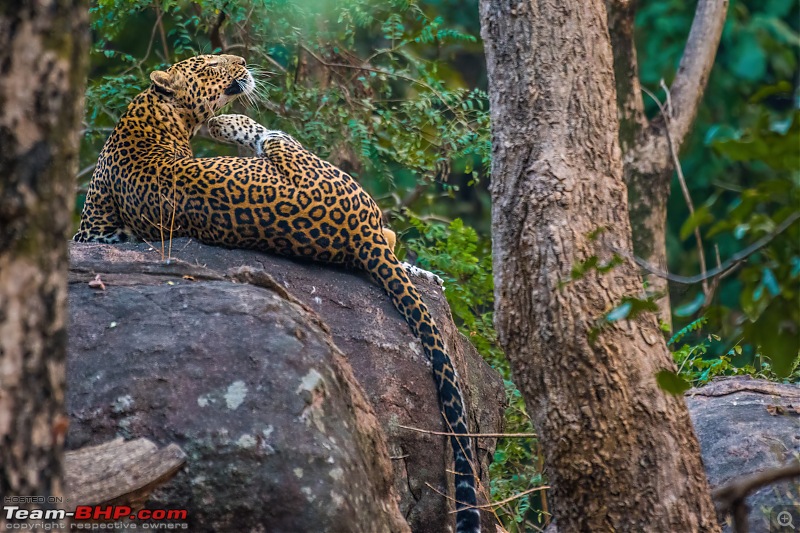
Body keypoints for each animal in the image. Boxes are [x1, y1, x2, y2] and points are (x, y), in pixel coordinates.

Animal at [72, 52, 478, 528]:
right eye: (210, 65)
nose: (241, 60)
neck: (156, 114)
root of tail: (358, 232)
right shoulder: (93, 230)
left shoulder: (94, 227)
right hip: (312, 169)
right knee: (376, 226)